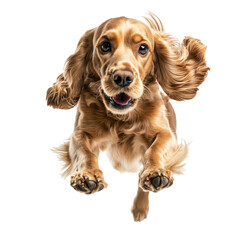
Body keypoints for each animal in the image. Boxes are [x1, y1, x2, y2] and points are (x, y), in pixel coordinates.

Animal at [46, 13, 209, 221]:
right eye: (105, 46)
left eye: (143, 48)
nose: (123, 77)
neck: (121, 119)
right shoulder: (80, 133)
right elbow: (85, 152)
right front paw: (87, 175)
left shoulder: (166, 134)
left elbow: (154, 150)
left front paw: (156, 173)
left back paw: (140, 207)